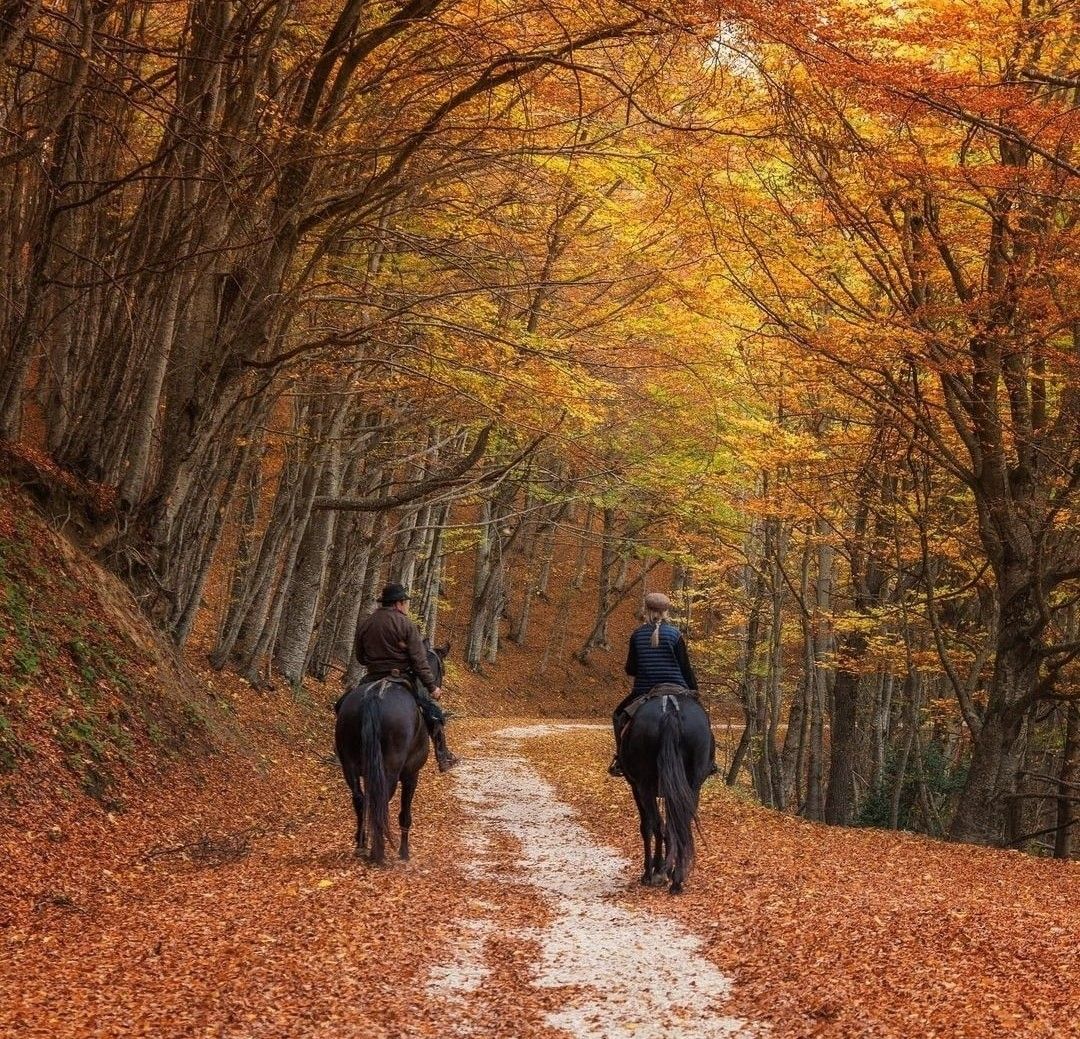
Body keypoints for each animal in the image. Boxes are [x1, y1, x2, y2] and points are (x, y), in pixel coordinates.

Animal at [330, 643, 444, 864]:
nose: (437, 691)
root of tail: (374, 696)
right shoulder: (411, 775)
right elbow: (405, 814)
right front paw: (404, 852)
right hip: (390, 769)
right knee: (380, 802)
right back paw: (378, 851)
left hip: (349, 765)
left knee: (360, 798)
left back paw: (362, 844)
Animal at [622, 686, 712, 889]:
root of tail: (670, 708)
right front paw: (666, 868)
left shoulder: (636, 787)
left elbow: (648, 826)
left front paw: (653, 871)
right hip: (692, 785)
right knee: (680, 824)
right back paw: (677, 879)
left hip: (645, 786)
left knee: (655, 824)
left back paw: (655, 873)